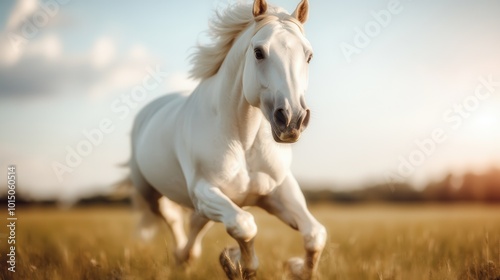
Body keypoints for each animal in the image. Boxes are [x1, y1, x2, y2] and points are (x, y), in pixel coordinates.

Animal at [129, 1, 326, 278]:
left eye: (309, 56)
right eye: (258, 52)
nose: (292, 120)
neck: (244, 143)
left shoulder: (277, 191)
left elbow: (315, 235)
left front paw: (294, 267)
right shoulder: (204, 192)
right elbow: (244, 225)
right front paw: (233, 262)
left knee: (195, 225)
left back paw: (187, 258)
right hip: (151, 193)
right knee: (173, 218)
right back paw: (182, 256)